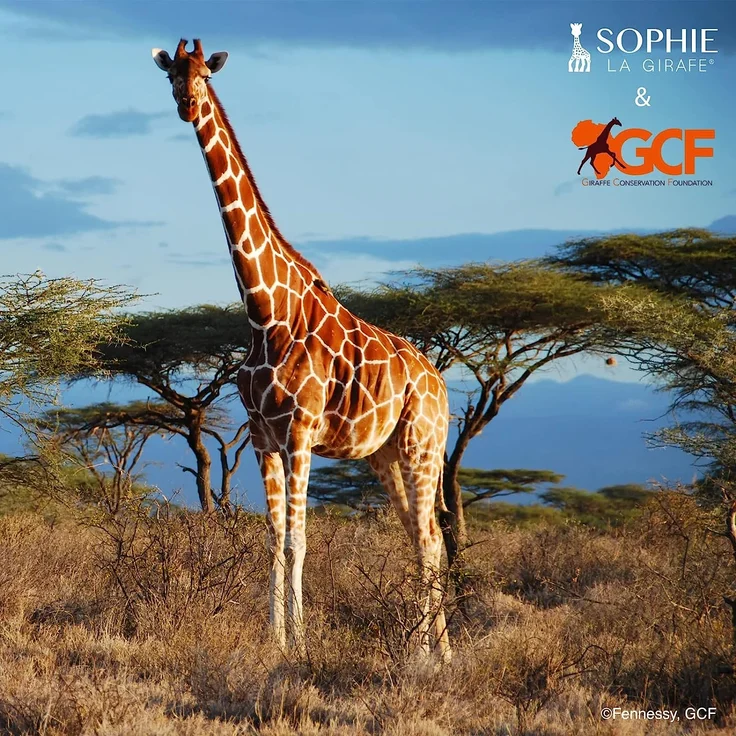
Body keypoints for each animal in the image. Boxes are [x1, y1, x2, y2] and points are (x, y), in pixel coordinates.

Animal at [151, 39, 451, 660]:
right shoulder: (263, 437)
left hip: (423, 445)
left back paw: (431, 653)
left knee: (431, 538)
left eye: (204, 75)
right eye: (170, 76)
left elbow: (299, 540)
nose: (187, 105)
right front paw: (275, 642)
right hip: (386, 455)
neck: (264, 313)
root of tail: (442, 384)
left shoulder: (300, 433)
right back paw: (433, 652)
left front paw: (303, 646)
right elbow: (273, 539)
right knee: (422, 537)